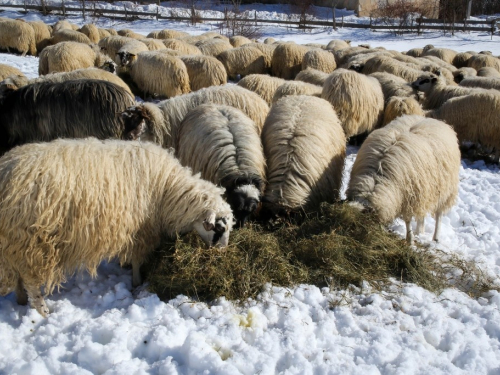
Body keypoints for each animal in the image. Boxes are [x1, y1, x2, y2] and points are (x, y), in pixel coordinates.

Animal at [0, 138, 234, 318]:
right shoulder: (141, 230)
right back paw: (42, 311)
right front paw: (137, 283)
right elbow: (138, 260)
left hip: (15, 242)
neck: (168, 189)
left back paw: (21, 300)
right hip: (33, 242)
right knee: (30, 280)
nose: (223, 252)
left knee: (17, 275)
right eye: (220, 228)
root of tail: (5, 170)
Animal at [348, 115, 460, 244]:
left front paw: (409, 240)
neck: (377, 177)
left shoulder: (409, 195)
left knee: (439, 214)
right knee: (421, 213)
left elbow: (407, 220)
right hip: (425, 188)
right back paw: (419, 232)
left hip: (445, 188)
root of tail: (433, 119)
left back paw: (435, 237)